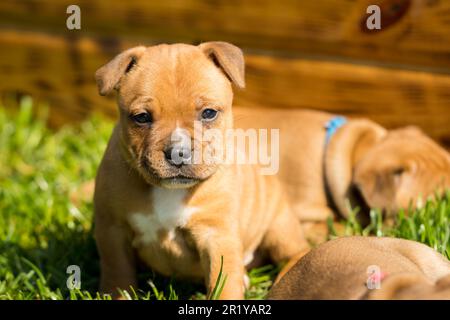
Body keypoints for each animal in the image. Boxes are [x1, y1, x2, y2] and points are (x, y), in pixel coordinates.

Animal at [92, 42, 310, 300]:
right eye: (142, 117)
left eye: (209, 113)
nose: (178, 151)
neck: (167, 191)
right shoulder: (112, 229)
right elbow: (117, 273)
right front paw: (115, 294)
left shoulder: (216, 236)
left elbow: (223, 282)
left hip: (278, 224)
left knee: (296, 251)